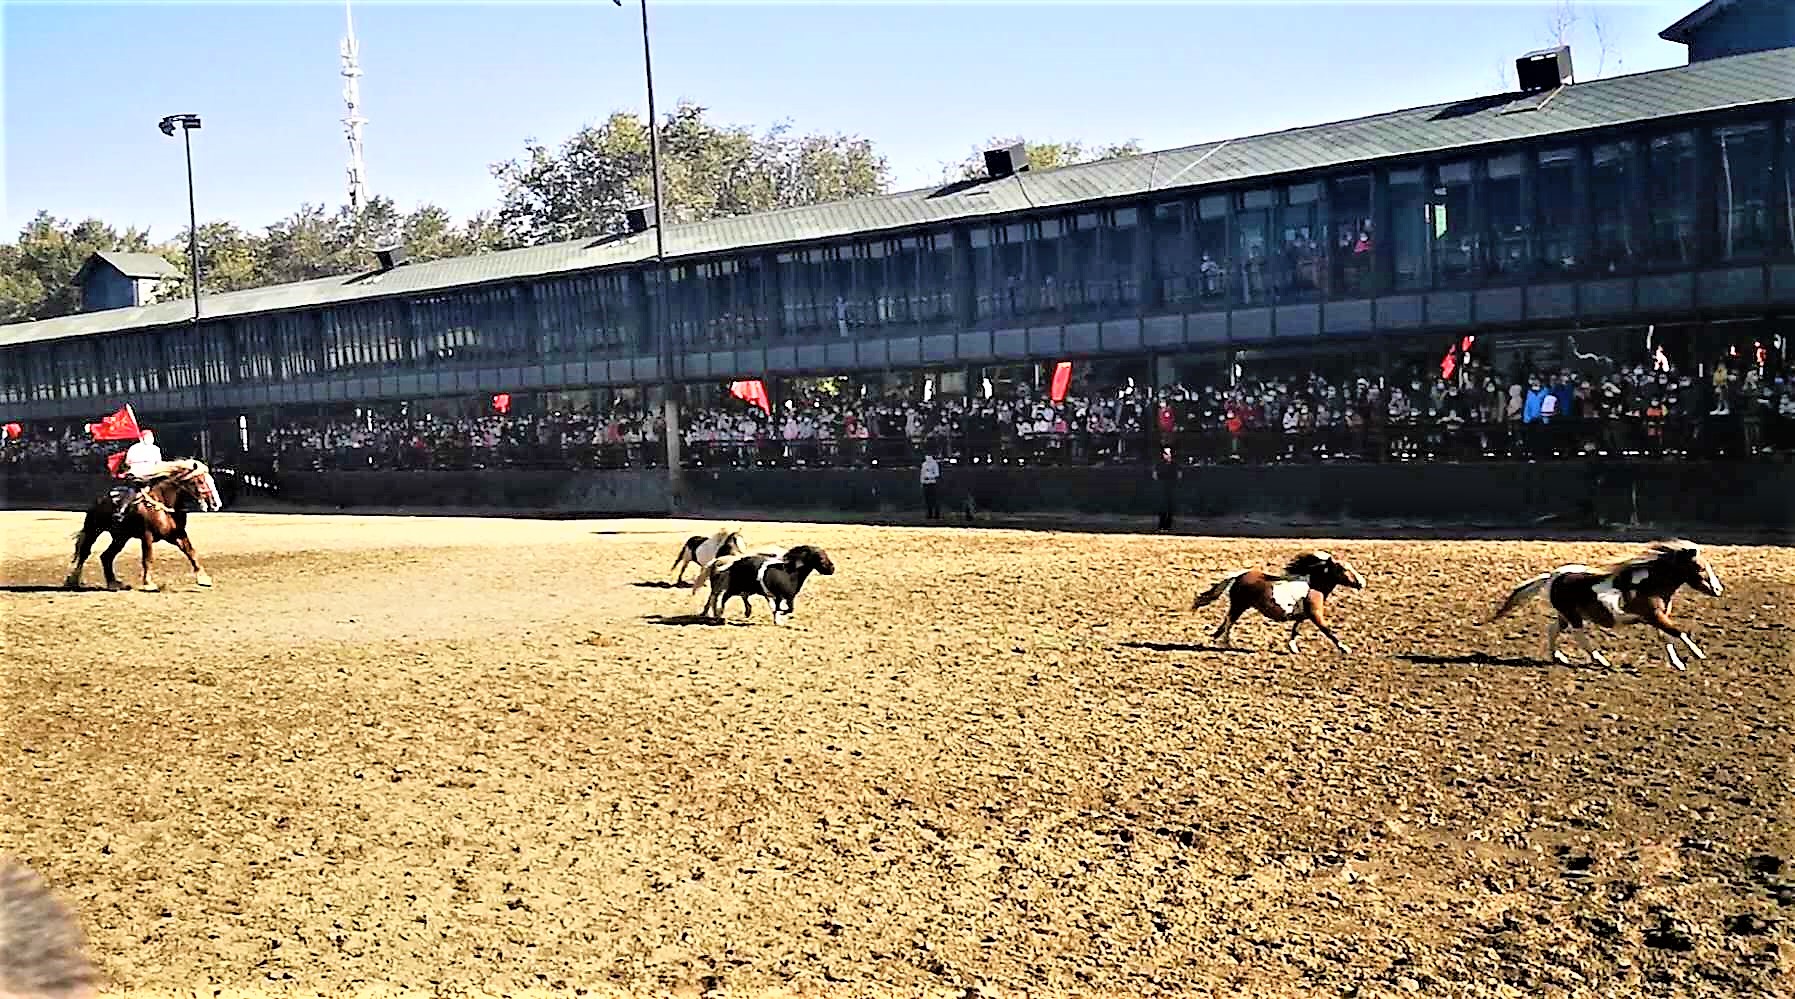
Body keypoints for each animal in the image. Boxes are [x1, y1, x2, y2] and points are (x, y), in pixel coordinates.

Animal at [65, 459, 222, 591]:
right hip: (94, 530)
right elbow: (148, 558)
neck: (163, 502)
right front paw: (148, 583)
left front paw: (204, 579)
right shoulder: (147, 535)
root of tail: (100, 500)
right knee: (84, 552)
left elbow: (191, 553)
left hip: (121, 538)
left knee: (106, 556)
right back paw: (73, 581)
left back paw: (114, 583)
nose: (215, 503)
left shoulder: (177, 534)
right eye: (200, 481)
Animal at [692, 545, 832, 624]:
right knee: (717, 599)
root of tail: (718, 561)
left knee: (720, 599)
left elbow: (780, 608)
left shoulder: (780, 597)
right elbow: (785, 609)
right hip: (727, 588)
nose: (832, 569)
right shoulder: (785, 596)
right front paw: (780, 617)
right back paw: (717, 616)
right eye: (820, 557)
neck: (789, 572)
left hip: (734, 589)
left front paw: (778, 619)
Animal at [1184, 548, 1364, 649]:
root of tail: (1239, 575)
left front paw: (1292, 648)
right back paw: (1226, 643)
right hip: (1239, 605)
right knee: (1229, 622)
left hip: (1240, 606)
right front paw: (1345, 649)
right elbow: (1328, 631)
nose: (1362, 583)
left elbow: (1295, 629)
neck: (1313, 585)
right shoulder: (1315, 615)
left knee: (1225, 623)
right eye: (1343, 569)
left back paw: (1214, 639)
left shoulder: (1303, 615)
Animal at [1486, 538, 1723, 670]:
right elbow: (1679, 632)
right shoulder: (1655, 616)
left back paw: (1559, 657)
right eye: (1700, 568)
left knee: (1553, 630)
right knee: (1580, 637)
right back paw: (1601, 661)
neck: (1650, 583)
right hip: (1573, 616)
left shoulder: (1657, 618)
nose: (1718, 590)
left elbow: (1668, 639)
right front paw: (1698, 654)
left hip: (1565, 615)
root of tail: (1553, 576)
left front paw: (1678, 664)